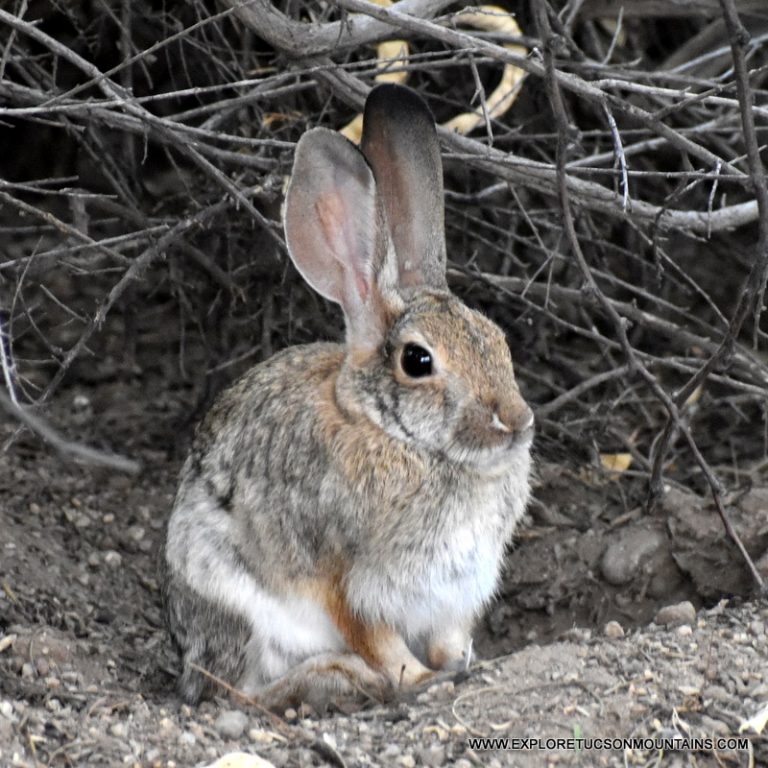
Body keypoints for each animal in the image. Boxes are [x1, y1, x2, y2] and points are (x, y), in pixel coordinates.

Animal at [162, 82, 536, 708]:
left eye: (497, 340)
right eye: (417, 361)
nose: (515, 420)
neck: (403, 440)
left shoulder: (455, 592)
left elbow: (448, 637)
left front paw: (463, 663)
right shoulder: (352, 582)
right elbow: (381, 642)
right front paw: (420, 680)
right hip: (236, 602)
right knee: (236, 693)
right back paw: (337, 678)